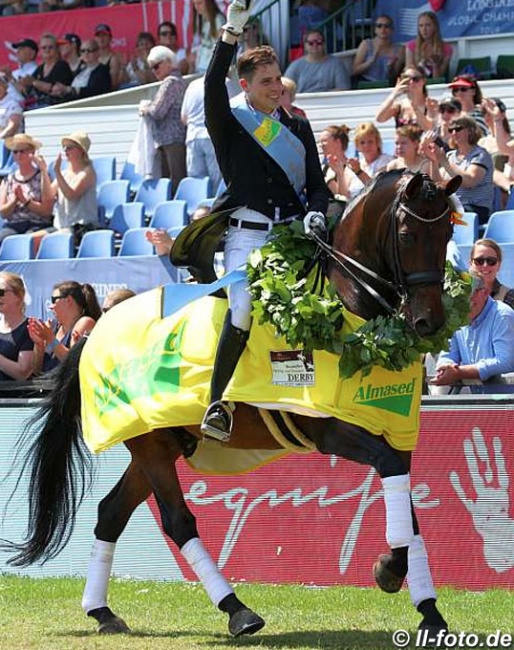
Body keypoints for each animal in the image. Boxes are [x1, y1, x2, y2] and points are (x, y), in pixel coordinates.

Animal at [4, 170, 460, 636]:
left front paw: (428, 610)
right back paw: (238, 610)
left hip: (161, 442)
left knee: (111, 513)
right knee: (177, 520)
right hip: (151, 445)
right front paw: (389, 570)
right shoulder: (332, 431)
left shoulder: (394, 431)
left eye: (447, 231)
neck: (347, 312)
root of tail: (95, 331)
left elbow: (408, 508)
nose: (429, 322)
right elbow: (391, 479)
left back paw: (103, 611)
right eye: (407, 234)